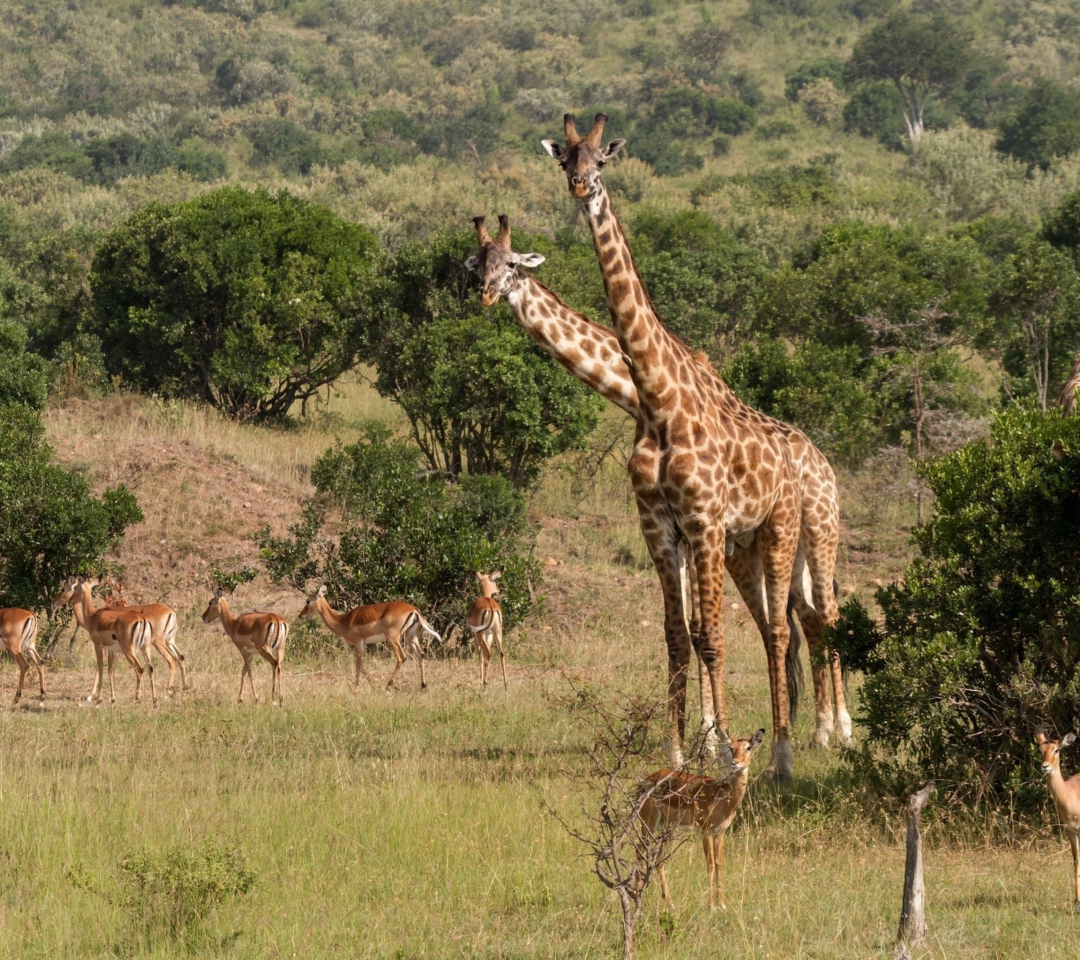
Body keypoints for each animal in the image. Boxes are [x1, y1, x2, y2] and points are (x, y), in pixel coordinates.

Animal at [464, 211, 851, 755]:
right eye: (478, 265)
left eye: (513, 265)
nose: (485, 295)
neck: (636, 393)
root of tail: (823, 461)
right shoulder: (685, 533)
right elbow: (692, 627)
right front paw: (705, 737)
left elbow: (701, 629)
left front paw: (710, 740)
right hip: (763, 551)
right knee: (806, 620)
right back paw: (817, 729)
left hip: (818, 529)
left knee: (828, 615)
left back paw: (840, 728)